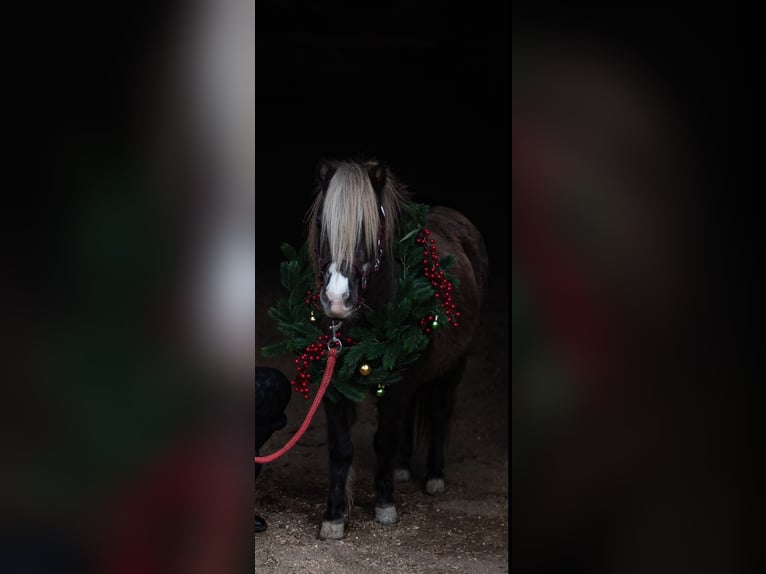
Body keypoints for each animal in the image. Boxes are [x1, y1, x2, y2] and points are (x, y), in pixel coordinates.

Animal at [305, 158, 489, 539]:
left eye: (370, 228)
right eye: (321, 224)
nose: (337, 301)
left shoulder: (398, 385)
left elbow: (383, 440)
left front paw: (384, 506)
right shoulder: (335, 385)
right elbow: (340, 448)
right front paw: (334, 517)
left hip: (455, 365)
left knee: (439, 413)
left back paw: (434, 477)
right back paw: (403, 469)